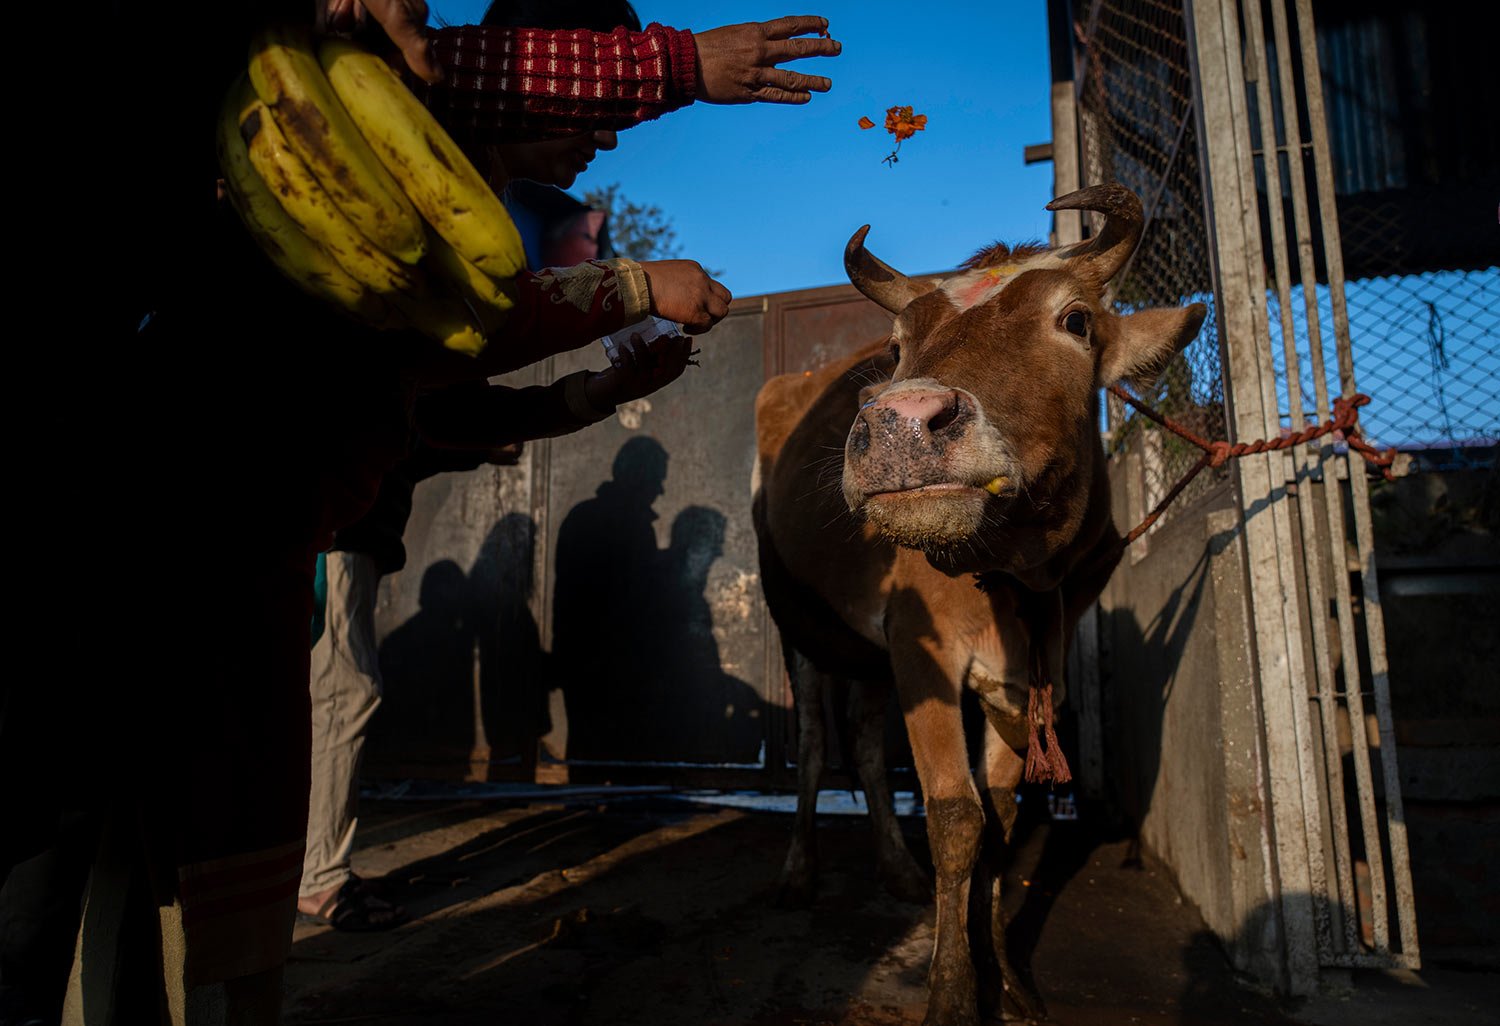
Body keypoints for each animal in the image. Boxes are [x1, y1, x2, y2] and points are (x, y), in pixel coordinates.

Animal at [750, 186, 1206, 1026]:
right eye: (899, 345)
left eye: (1076, 321)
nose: (899, 422)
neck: (1018, 573)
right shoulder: (920, 650)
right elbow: (958, 818)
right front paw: (953, 992)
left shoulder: (1023, 673)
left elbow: (1000, 816)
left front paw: (1007, 978)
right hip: (798, 621)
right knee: (816, 743)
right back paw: (799, 873)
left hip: (868, 653)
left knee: (865, 739)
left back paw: (896, 869)